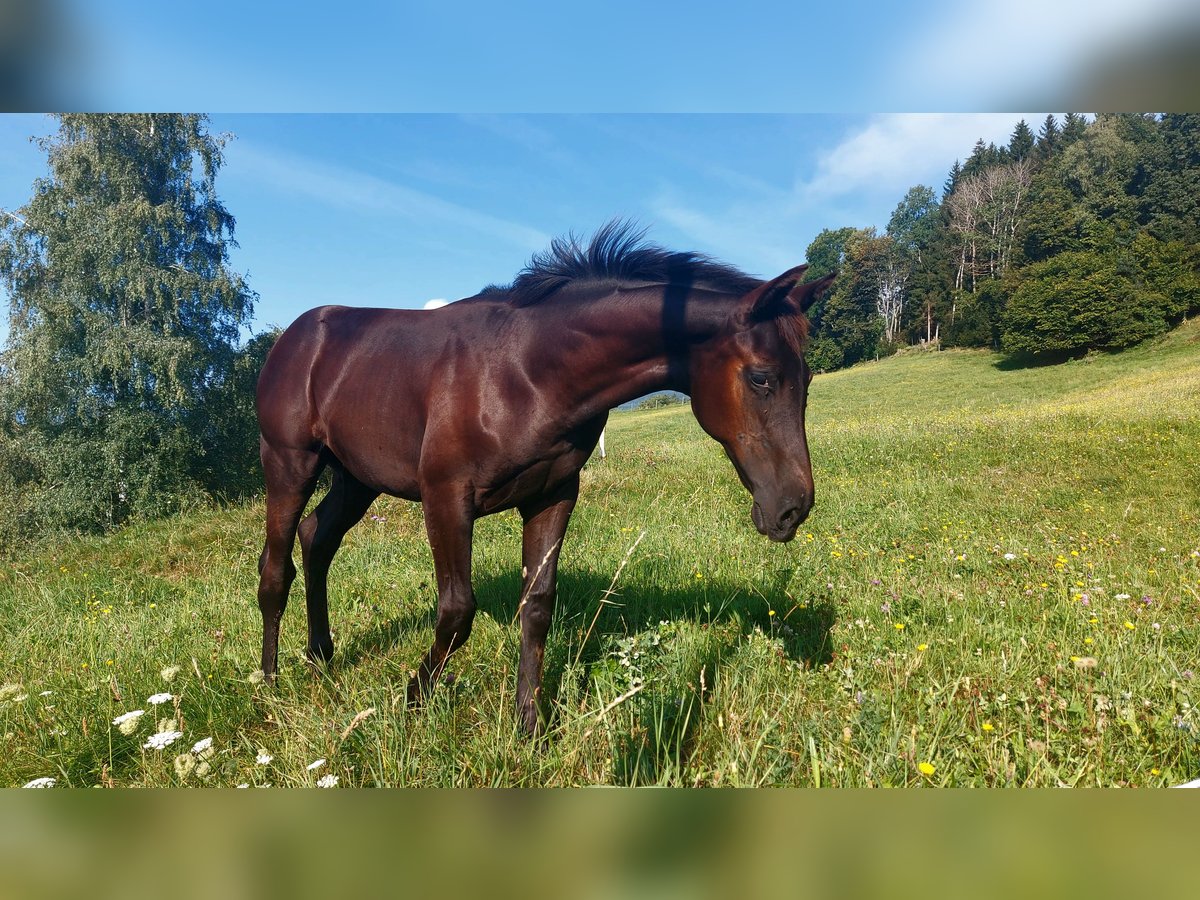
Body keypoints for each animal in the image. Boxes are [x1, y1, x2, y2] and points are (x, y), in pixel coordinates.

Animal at [253, 222, 835, 734]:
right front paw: (412, 699)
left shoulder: (552, 495)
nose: (792, 508)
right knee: (276, 568)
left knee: (317, 538)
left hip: (357, 478)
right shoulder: (445, 496)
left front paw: (530, 723)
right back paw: (270, 682)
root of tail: (295, 337)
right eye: (761, 377)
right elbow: (457, 610)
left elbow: (536, 607)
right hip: (289, 465)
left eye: (807, 378)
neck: (527, 371)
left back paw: (321, 655)